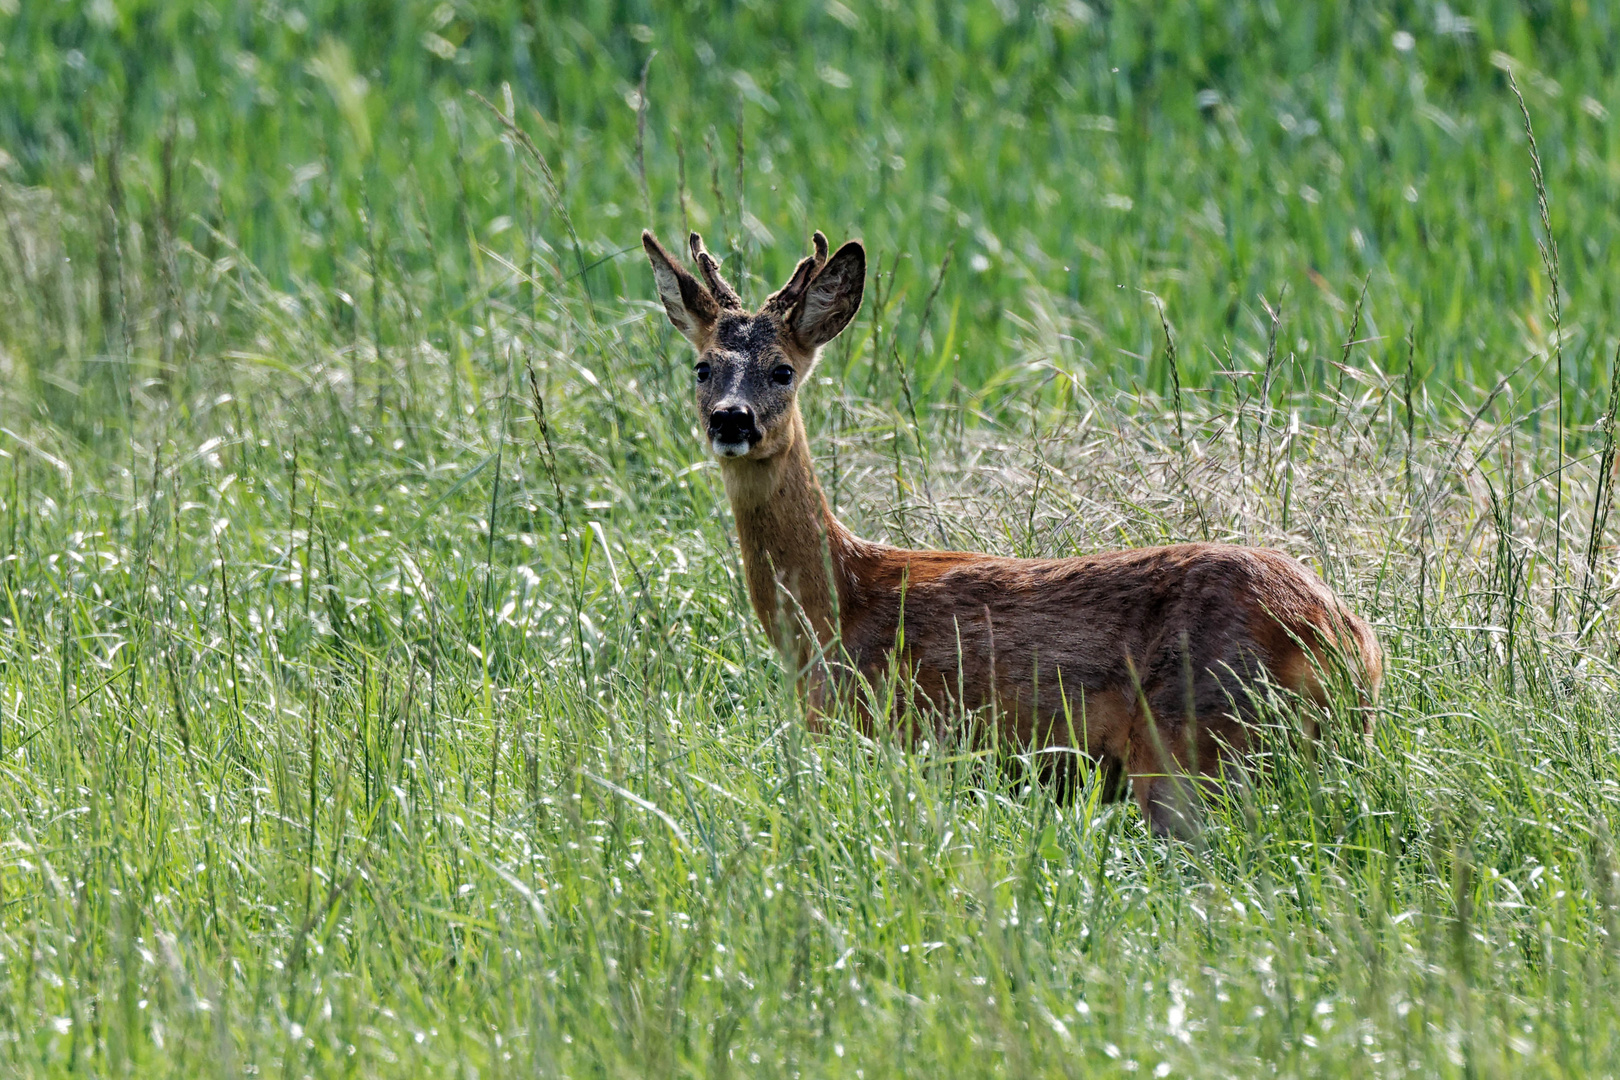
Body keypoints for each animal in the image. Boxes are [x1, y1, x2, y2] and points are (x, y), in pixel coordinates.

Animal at [641, 226, 1380, 835]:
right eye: (702, 367)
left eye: (783, 370)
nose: (731, 419)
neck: (832, 613)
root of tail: (1351, 644)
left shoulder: (875, 730)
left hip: (1192, 745)